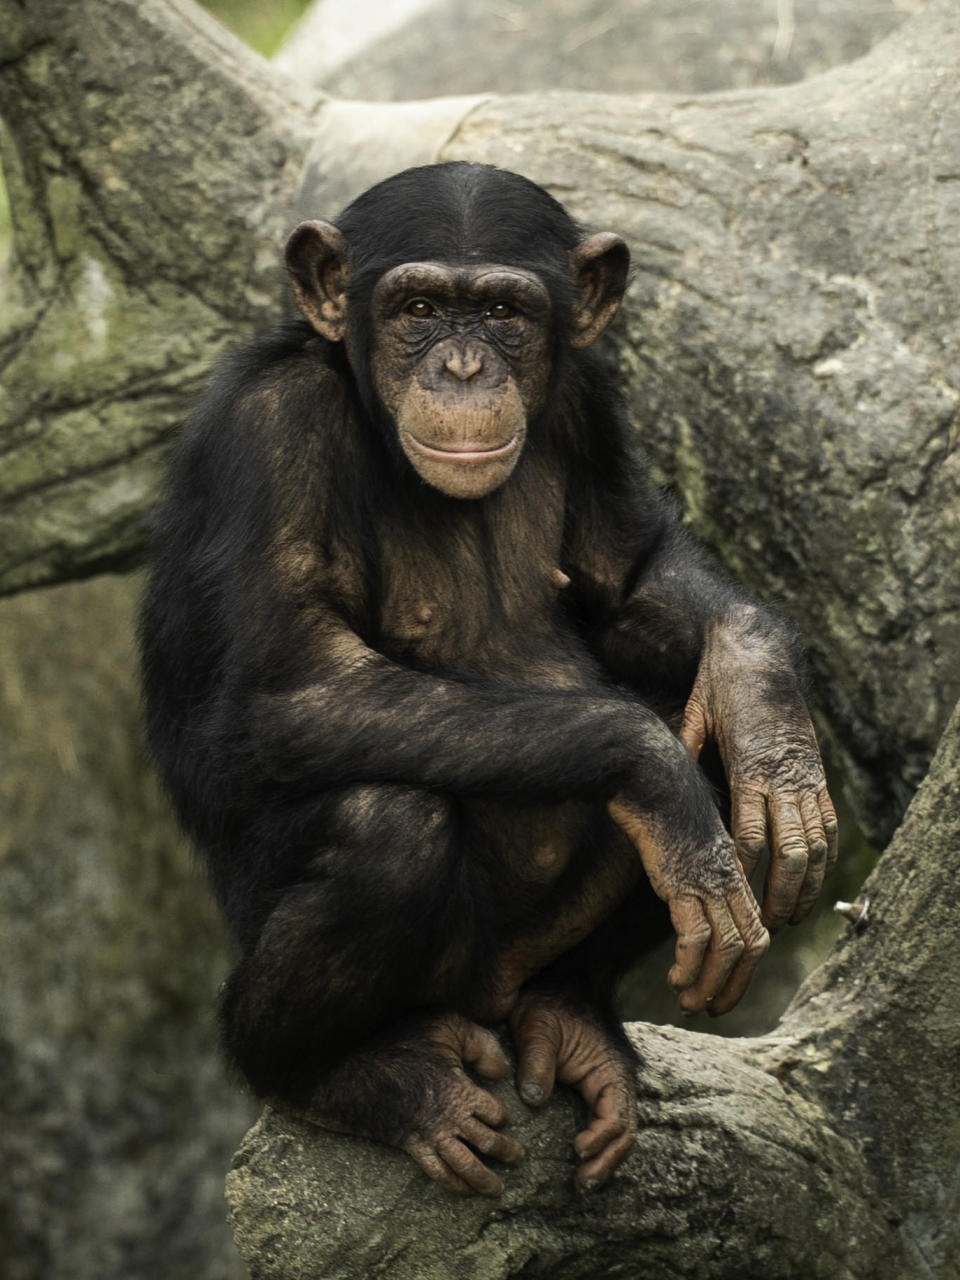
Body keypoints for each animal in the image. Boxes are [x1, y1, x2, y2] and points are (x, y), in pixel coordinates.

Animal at [138, 162, 839, 1198]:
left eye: (504, 313)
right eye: (420, 308)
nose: (464, 369)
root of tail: (485, 1003)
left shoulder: (588, 397)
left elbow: (631, 577)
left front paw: (765, 713)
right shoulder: (272, 434)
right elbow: (297, 685)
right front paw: (659, 780)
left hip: (512, 968)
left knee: (693, 744)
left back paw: (572, 1013)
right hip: (393, 970)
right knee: (391, 828)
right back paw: (346, 1075)